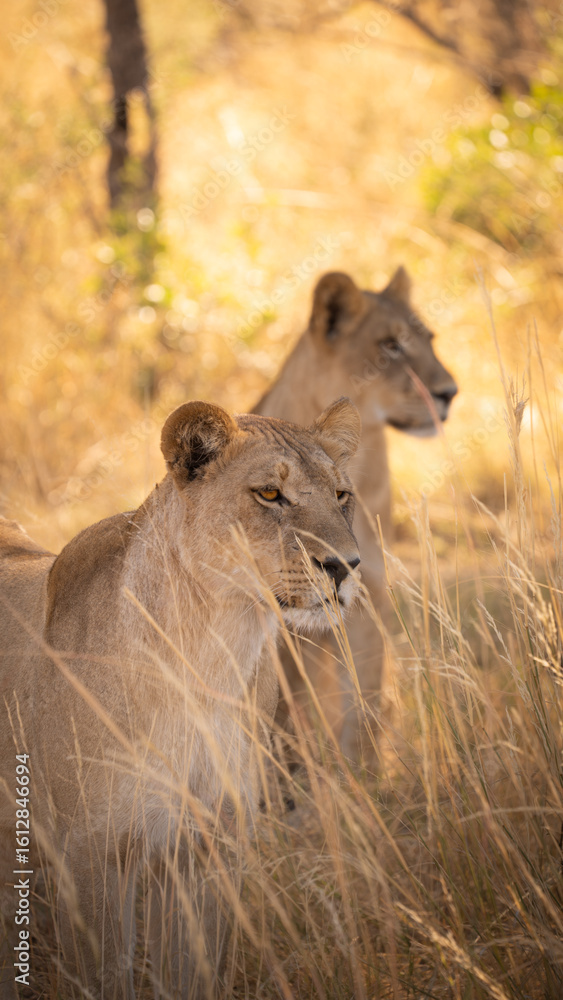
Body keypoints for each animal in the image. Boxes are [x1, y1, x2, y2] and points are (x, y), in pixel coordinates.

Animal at [0, 398, 361, 1000]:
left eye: (341, 495)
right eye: (270, 494)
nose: (345, 566)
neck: (211, 653)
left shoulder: (209, 843)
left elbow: (194, 973)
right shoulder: (92, 855)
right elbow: (106, 978)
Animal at [254, 268, 458, 760]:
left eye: (431, 340)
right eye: (390, 346)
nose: (450, 393)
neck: (361, 466)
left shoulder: (368, 602)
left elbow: (363, 710)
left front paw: (364, 776)